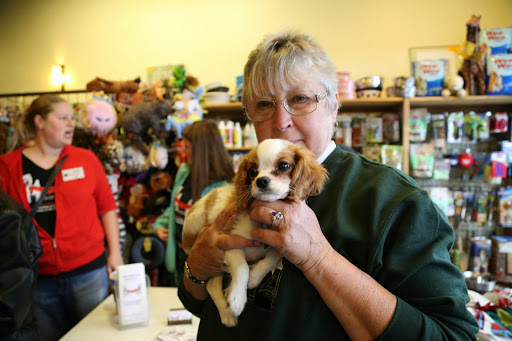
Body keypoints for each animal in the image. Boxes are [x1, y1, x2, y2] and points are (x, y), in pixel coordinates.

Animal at [184, 139, 328, 326]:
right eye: (252, 171)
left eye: (284, 165)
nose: (261, 181)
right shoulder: (229, 242)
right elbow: (242, 267)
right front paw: (237, 299)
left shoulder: (282, 243)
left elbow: (273, 257)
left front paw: (254, 277)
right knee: (212, 285)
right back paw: (228, 314)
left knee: (211, 285)